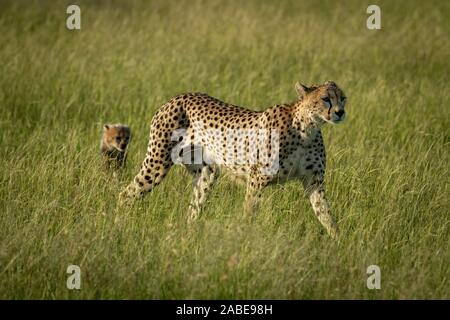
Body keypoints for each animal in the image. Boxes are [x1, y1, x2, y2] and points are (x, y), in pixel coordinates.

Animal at [118, 80, 346, 238]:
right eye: (325, 98)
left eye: (343, 98)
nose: (340, 112)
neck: (307, 128)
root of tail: (176, 97)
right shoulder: (257, 179)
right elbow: (249, 212)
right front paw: (246, 239)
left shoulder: (313, 181)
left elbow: (325, 214)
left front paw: (338, 242)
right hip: (157, 163)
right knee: (126, 194)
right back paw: (120, 227)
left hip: (206, 174)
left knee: (193, 208)